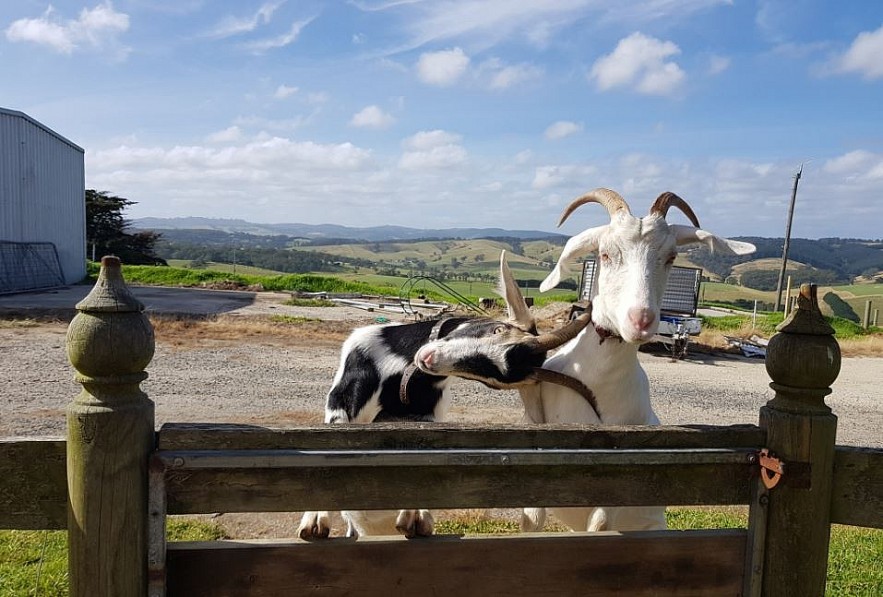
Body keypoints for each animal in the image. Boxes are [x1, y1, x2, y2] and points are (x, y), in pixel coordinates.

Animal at [300, 249, 592, 536]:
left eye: (493, 380)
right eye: (497, 328)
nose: (429, 359)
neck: (399, 374)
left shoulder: (425, 418)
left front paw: (416, 515)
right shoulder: (341, 400)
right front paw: (314, 521)